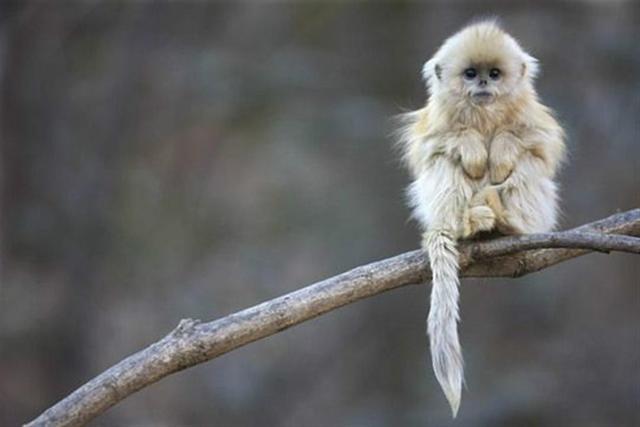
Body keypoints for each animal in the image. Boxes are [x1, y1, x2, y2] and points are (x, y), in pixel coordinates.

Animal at [398, 20, 568, 418]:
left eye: (494, 74)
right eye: (470, 74)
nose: (483, 86)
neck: (485, 113)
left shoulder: (533, 117)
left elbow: (540, 144)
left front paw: (502, 148)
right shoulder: (434, 121)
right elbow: (431, 146)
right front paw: (473, 146)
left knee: (528, 164)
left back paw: (507, 222)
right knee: (443, 162)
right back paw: (468, 224)